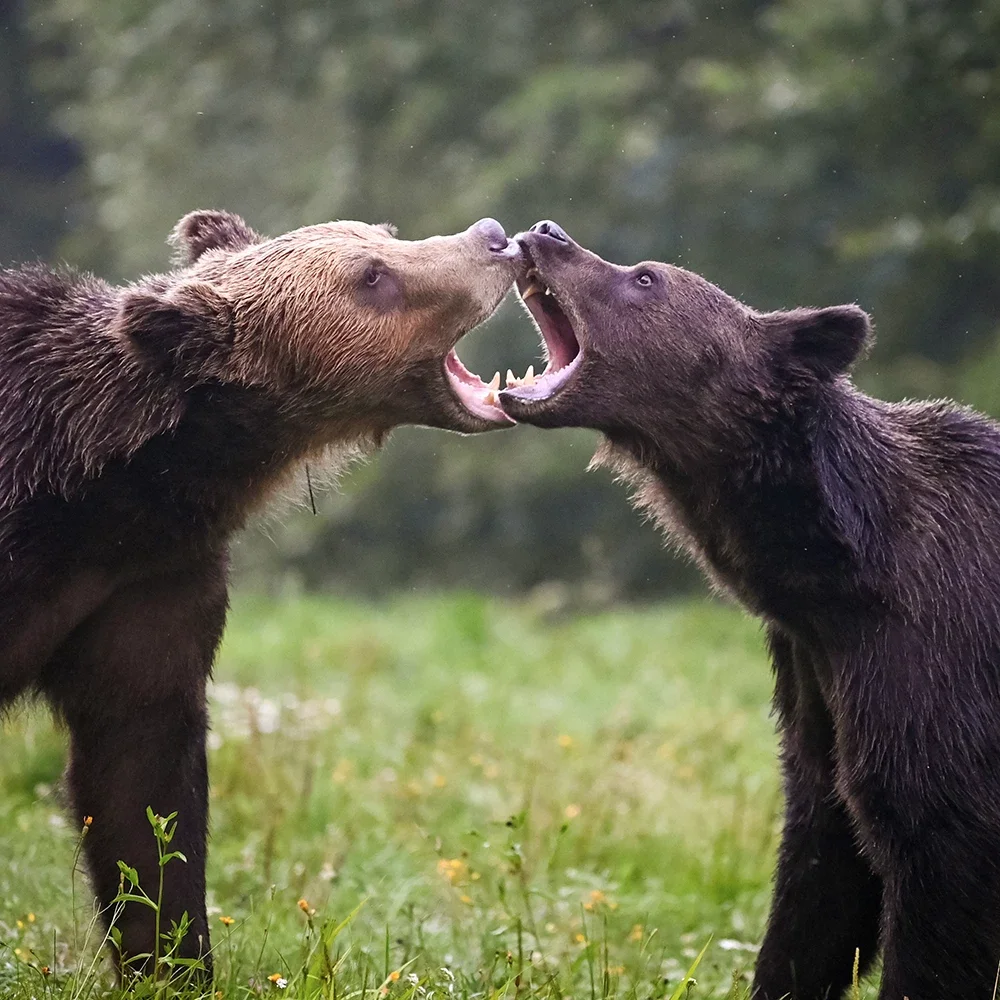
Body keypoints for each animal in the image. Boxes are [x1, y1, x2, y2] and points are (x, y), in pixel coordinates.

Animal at [0, 210, 523, 977]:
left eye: (384, 231)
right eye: (372, 276)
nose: (492, 236)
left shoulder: (149, 582)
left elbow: (143, 780)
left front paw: (174, 963)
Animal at [498, 220, 1000, 1000]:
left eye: (646, 277)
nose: (546, 232)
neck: (834, 573)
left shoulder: (934, 658)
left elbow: (937, 861)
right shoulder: (815, 672)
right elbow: (819, 871)